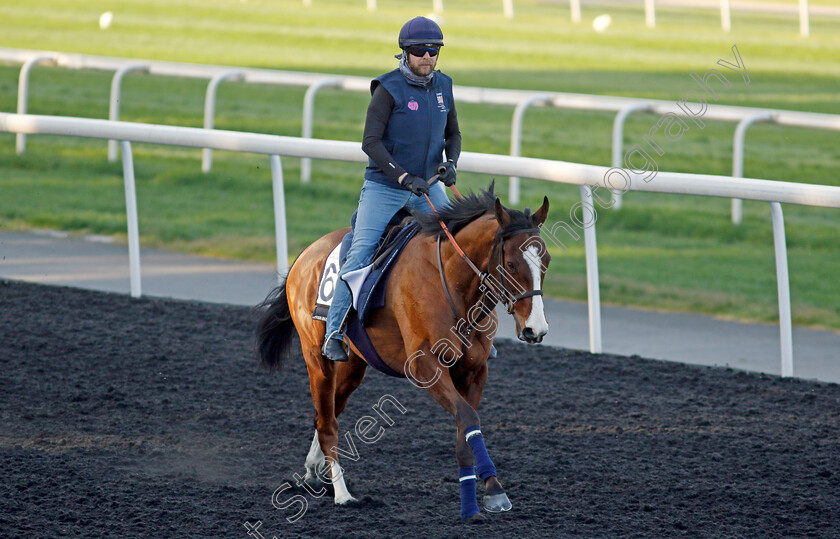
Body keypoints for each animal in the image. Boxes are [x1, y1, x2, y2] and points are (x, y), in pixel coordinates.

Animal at [256, 184, 552, 520]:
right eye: (512, 264)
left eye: (546, 261)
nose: (535, 329)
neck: (452, 281)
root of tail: (305, 256)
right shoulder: (425, 366)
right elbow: (467, 416)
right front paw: (490, 492)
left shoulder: (475, 370)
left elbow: (466, 426)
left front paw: (486, 490)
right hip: (316, 357)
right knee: (328, 423)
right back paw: (342, 493)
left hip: (354, 363)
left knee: (327, 412)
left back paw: (314, 471)